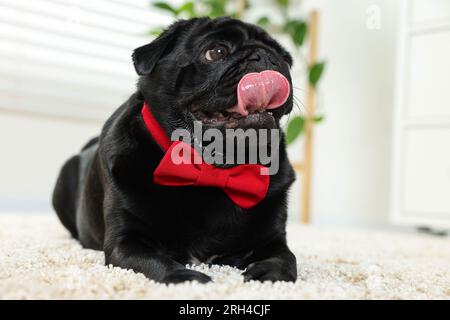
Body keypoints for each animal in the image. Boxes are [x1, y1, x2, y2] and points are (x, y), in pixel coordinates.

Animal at [52, 16, 298, 284]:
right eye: (216, 52)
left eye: (284, 58)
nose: (265, 56)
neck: (213, 165)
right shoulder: (126, 242)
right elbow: (157, 262)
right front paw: (187, 277)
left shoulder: (272, 241)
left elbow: (286, 259)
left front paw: (268, 274)